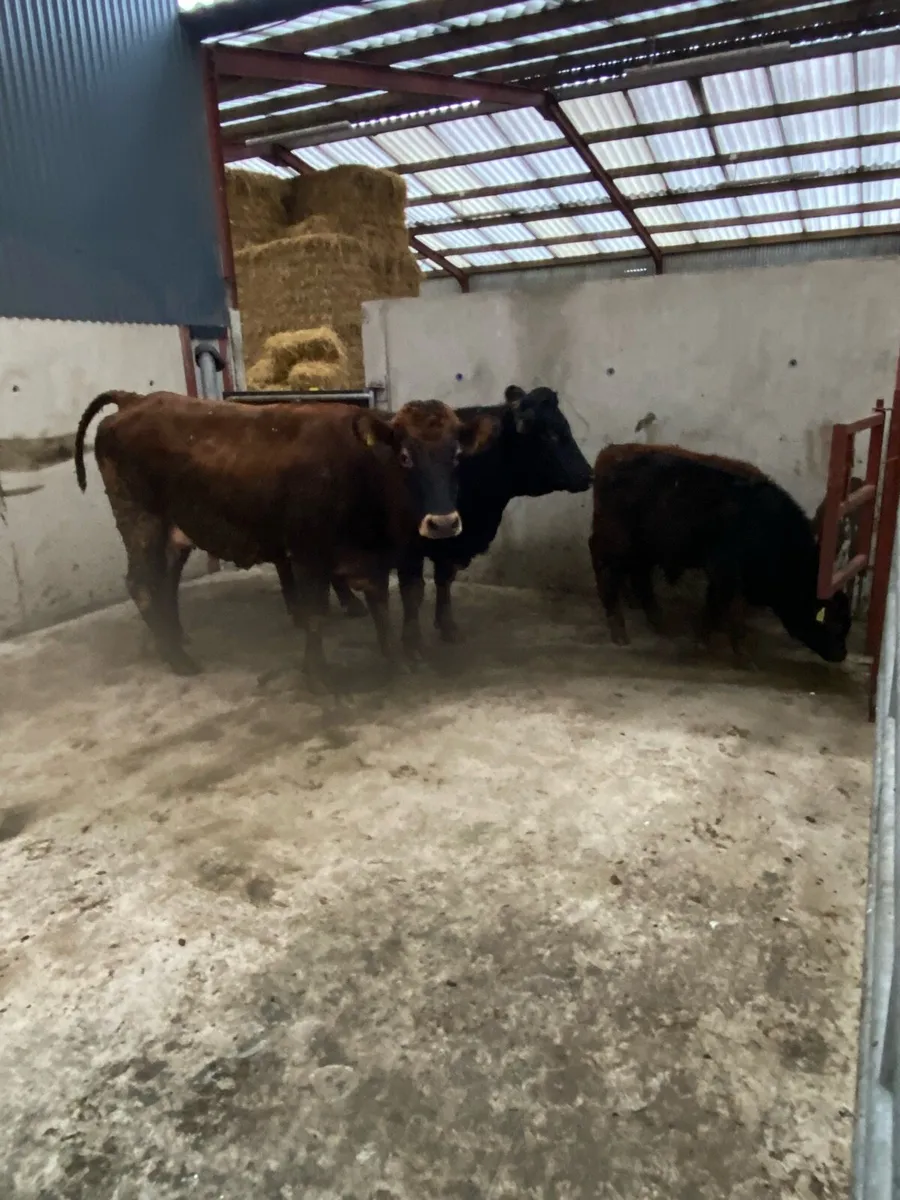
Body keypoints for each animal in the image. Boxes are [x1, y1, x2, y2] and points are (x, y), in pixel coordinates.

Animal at [73, 390, 494, 678]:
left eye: (457, 455)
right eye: (405, 456)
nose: (443, 522)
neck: (361, 469)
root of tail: (137, 399)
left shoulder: (378, 558)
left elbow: (382, 606)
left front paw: (394, 658)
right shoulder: (308, 554)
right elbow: (314, 612)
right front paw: (317, 674)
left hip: (173, 530)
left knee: (165, 581)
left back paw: (174, 638)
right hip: (139, 519)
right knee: (142, 583)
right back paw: (178, 658)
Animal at [331, 385, 594, 655]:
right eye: (551, 435)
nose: (588, 474)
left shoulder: (452, 538)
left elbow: (444, 579)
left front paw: (446, 626)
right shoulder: (412, 546)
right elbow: (414, 589)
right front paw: (417, 639)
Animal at [589, 443, 851, 664]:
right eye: (834, 624)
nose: (841, 654)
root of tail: (608, 457)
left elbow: (724, 607)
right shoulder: (725, 572)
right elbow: (721, 606)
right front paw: (718, 646)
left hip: (643, 549)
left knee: (640, 578)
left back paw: (658, 622)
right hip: (617, 544)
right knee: (608, 572)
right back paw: (619, 630)